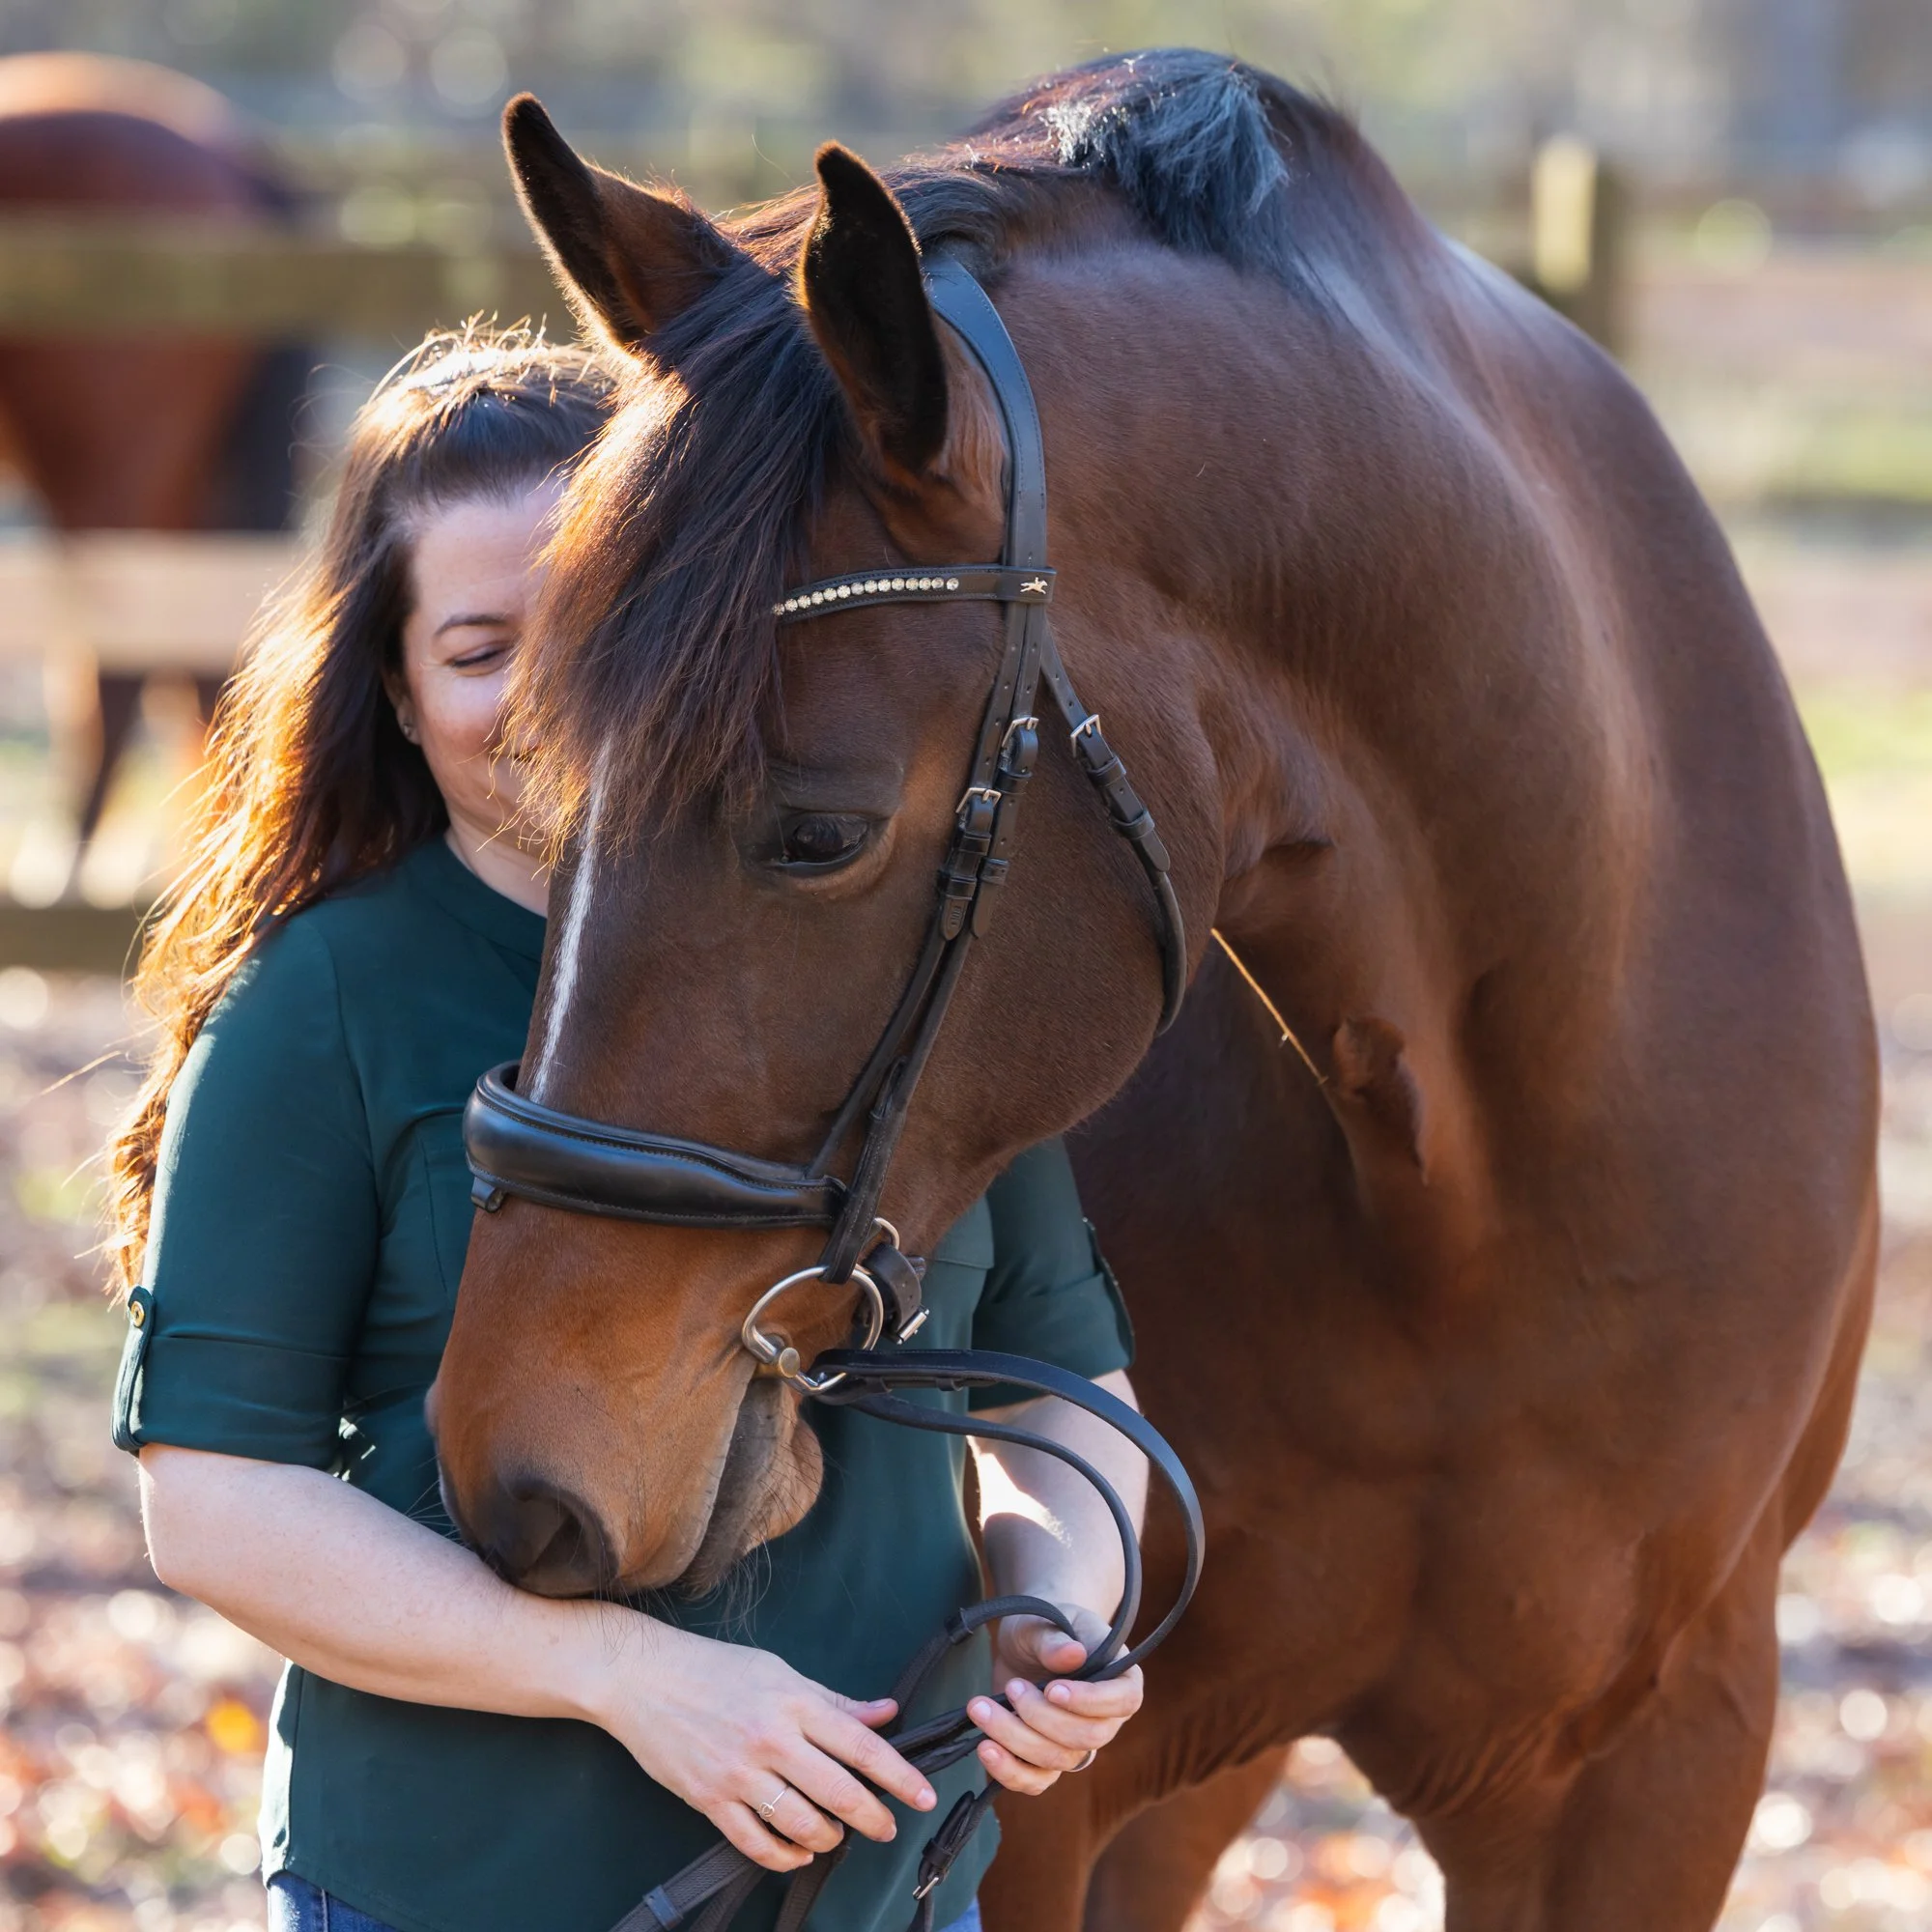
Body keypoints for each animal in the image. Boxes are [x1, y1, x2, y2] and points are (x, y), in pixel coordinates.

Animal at [429, 51, 1879, 1932]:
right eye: (544, 789)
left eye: (816, 831)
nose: (515, 1474)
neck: (1479, 1182)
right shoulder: (1045, 1771)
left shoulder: (1656, 1770)